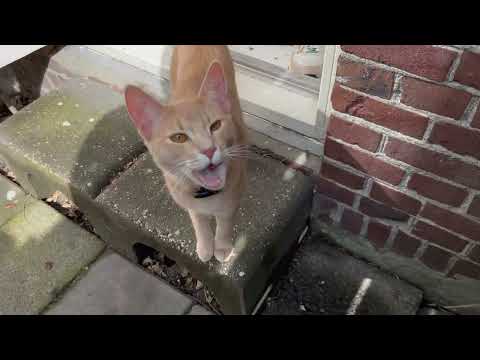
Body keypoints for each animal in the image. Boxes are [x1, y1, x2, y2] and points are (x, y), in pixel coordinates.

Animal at [124, 46, 248, 262]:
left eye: (215, 126)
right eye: (179, 138)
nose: (209, 149)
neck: (207, 195)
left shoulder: (232, 199)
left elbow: (224, 222)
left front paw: (222, 246)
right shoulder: (188, 200)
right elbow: (198, 219)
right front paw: (206, 245)